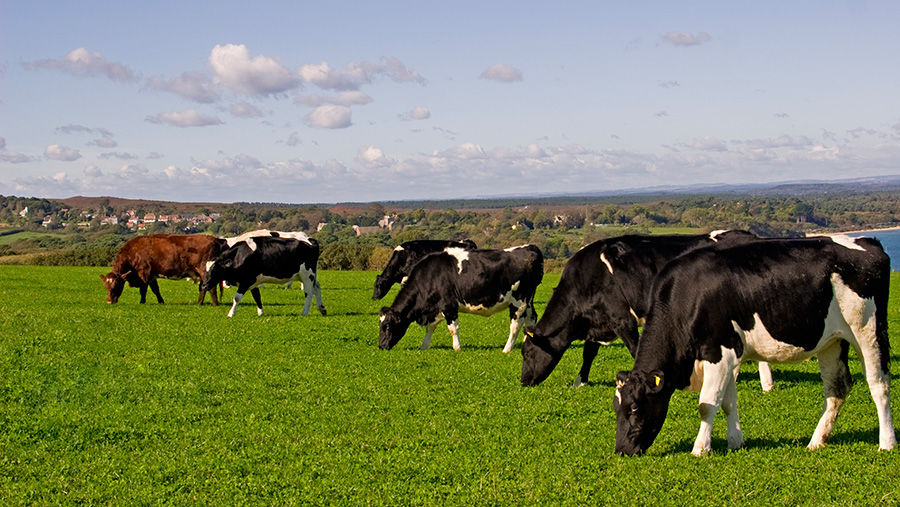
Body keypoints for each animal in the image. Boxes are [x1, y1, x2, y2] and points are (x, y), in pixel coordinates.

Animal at [378, 246, 540, 354]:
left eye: (387, 326)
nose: (381, 346)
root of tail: (529, 248)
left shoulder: (448, 305)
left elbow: (453, 329)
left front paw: (457, 348)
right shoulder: (434, 309)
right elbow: (430, 328)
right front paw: (424, 346)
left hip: (519, 300)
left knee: (516, 325)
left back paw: (507, 349)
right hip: (529, 300)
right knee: (532, 319)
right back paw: (528, 343)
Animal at [516, 232, 768, 386]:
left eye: (527, 352)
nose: (524, 381)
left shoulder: (622, 319)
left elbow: (634, 348)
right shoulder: (598, 321)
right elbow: (589, 352)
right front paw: (581, 381)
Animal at [612, 236, 892, 458]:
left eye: (634, 407)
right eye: (617, 408)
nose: (622, 450)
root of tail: (869, 242)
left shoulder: (718, 352)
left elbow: (707, 404)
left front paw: (700, 448)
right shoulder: (729, 356)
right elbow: (727, 402)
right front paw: (736, 441)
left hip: (868, 330)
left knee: (878, 384)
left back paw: (886, 442)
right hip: (831, 341)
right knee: (837, 388)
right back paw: (816, 441)